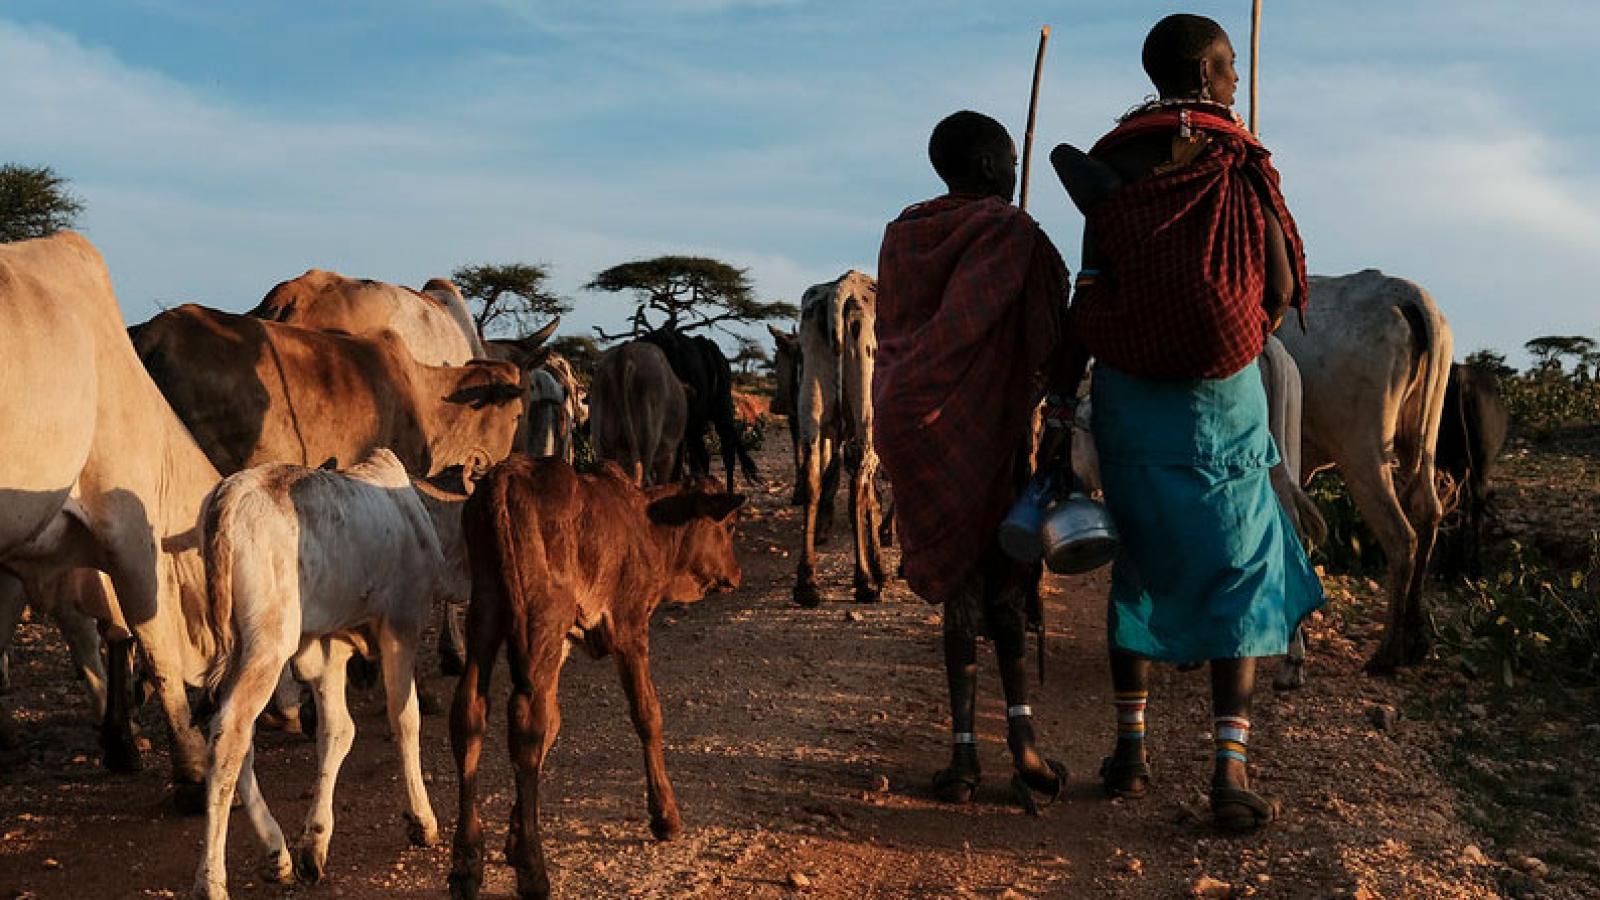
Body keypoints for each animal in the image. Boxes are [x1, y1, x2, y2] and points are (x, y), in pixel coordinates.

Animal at [194, 448, 467, 896]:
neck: (421, 513)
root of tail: (230, 492)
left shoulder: (328, 647)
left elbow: (337, 730)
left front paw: (314, 844)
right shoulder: (402, 626)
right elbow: (405, 718)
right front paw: (421, 820)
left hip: (238, 648)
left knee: (233, 734)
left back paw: (278, 855)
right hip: (267, 649)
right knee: (229, 736)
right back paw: (212, 881)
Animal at [448, 454, 739, 896]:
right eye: (729, 526)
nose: (736, 574)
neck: (646, 524)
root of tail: (503, 480)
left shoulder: (567, 639)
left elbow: (554, 724)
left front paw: (513, 838)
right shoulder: (630, 627)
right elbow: (647, 714)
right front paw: (665, 816)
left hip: (486, 610)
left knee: (471, 713)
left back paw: (467, 863)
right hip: (541, 620)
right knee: (525, 726)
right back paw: (534, 872)